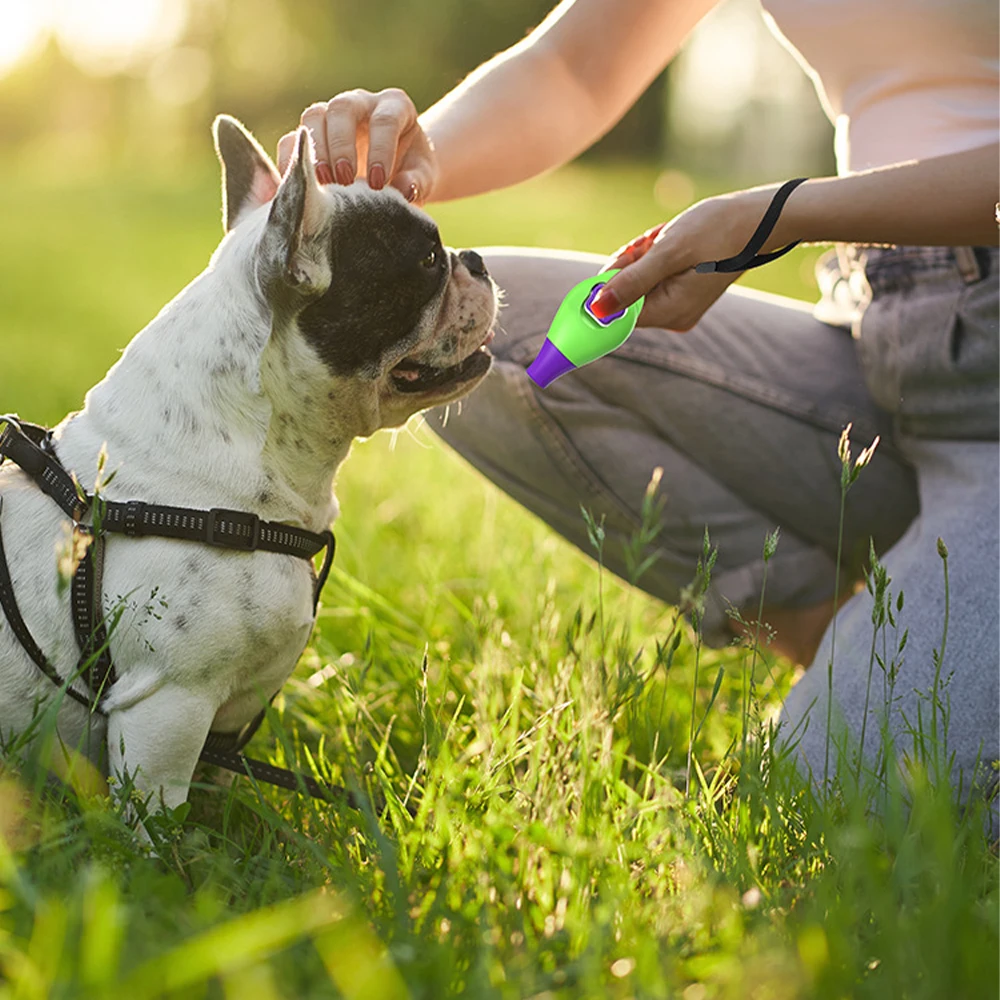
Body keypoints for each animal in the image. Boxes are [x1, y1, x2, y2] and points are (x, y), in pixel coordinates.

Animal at [0, 117, 498, 816]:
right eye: (427, 261)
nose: (475, 259)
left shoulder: (228, 719)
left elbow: (218, 789)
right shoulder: (168, 709)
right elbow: (156, 823)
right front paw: (168, 849)